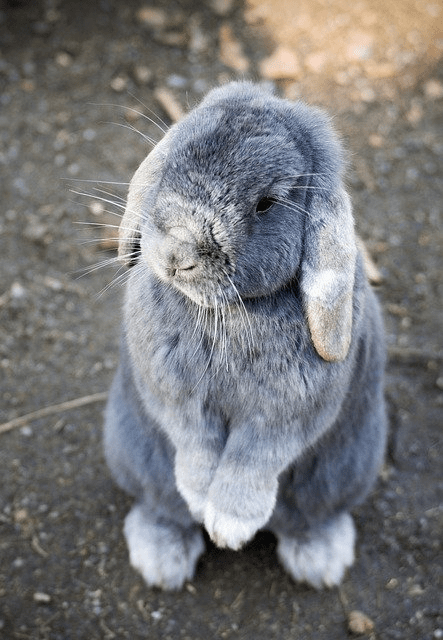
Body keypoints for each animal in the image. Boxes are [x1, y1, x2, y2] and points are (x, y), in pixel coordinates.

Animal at [105, 82, 388, 592]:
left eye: (266, 203)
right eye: (171, 163)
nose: (176, 254)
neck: (230, 311)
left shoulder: (284, 416)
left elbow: (252, 460)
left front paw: (230, 527)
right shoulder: (176, 397)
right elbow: (195, 444)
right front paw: (202, 501)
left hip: (345, 471)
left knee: (309, 518)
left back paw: (320, 561)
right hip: (134, 454)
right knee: (162, 506)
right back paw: (162, 561)